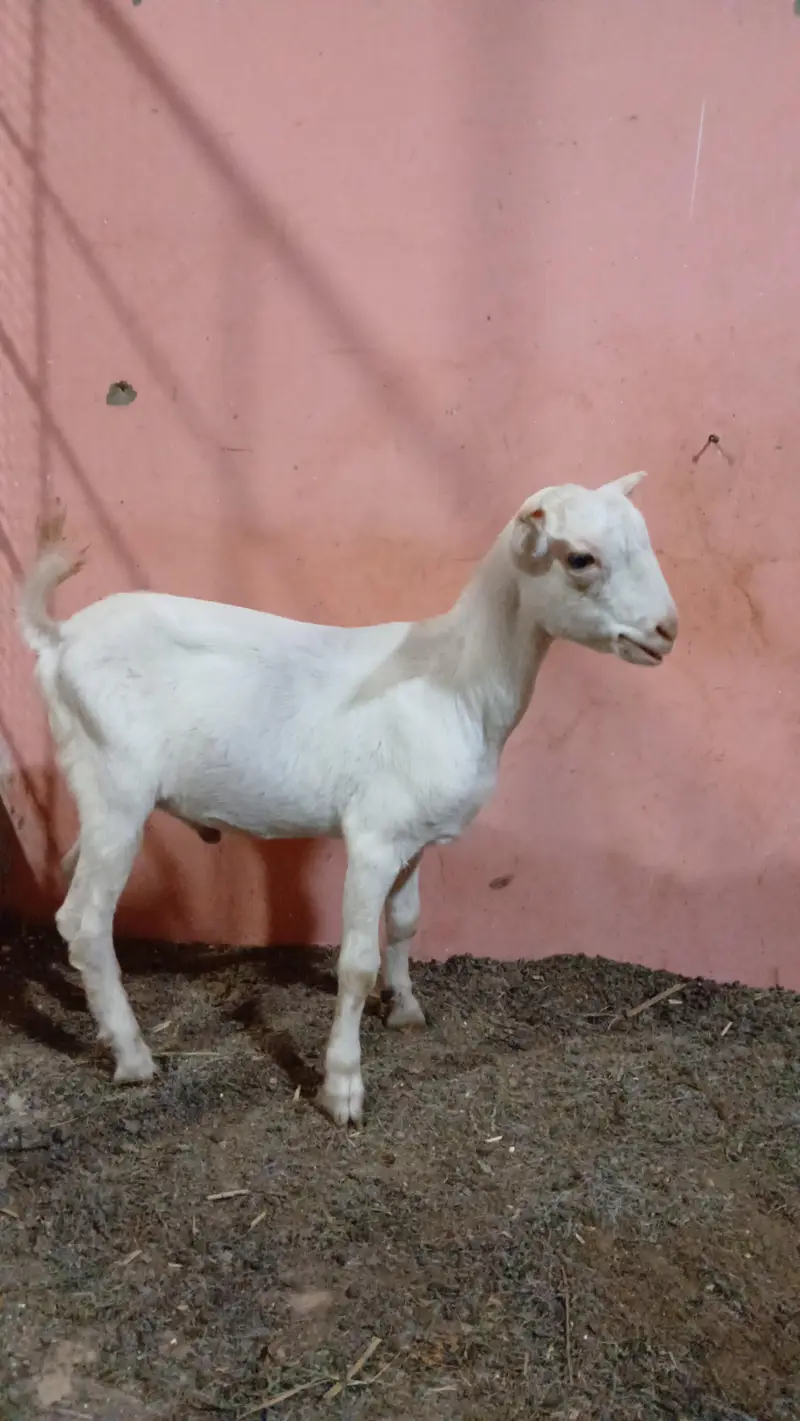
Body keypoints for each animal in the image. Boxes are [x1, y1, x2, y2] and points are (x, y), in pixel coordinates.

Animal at [18, 474, 677, 1126]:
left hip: (100, 794)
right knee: (85, 918)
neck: (456, 681)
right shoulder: (373, 838)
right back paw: (133, 1056)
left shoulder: (414, 837)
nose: (668, 630)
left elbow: (406, 921)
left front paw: (405, 1008)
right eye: (580, 558)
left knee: (72, 892)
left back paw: (92, 1012)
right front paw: (343, 1087)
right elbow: (356, 963)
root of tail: (60, 638)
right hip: (116, 786)